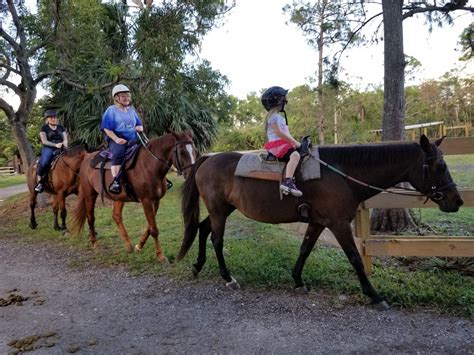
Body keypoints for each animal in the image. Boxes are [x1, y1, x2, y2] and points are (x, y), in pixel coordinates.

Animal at [71, 131, 196, 264]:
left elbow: (150, 227)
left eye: (194, 150)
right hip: (90, 194)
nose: (191, 174)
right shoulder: (146, 200)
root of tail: (87, 157)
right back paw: (95, 244)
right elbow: (154, 229)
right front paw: (160, 256)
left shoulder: (156, 201)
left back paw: (128, 245)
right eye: (182, 152)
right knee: (91, 218)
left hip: (118, 197)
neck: (149, 165)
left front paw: (139, 246)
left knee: (116, 216)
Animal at [177, 135, 462, 310]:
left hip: (223, 210)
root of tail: (207, 159)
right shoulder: (338, 224)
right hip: (219, 210)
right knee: (216, 239)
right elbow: (355, 258)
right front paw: (374, 295)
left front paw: (298, 280)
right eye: (440, 165)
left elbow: (305, 249)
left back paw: (197, 266)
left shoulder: (317, 222)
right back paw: (227, 278)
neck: (342, 174)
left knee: (203, 229)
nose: (456, 200)